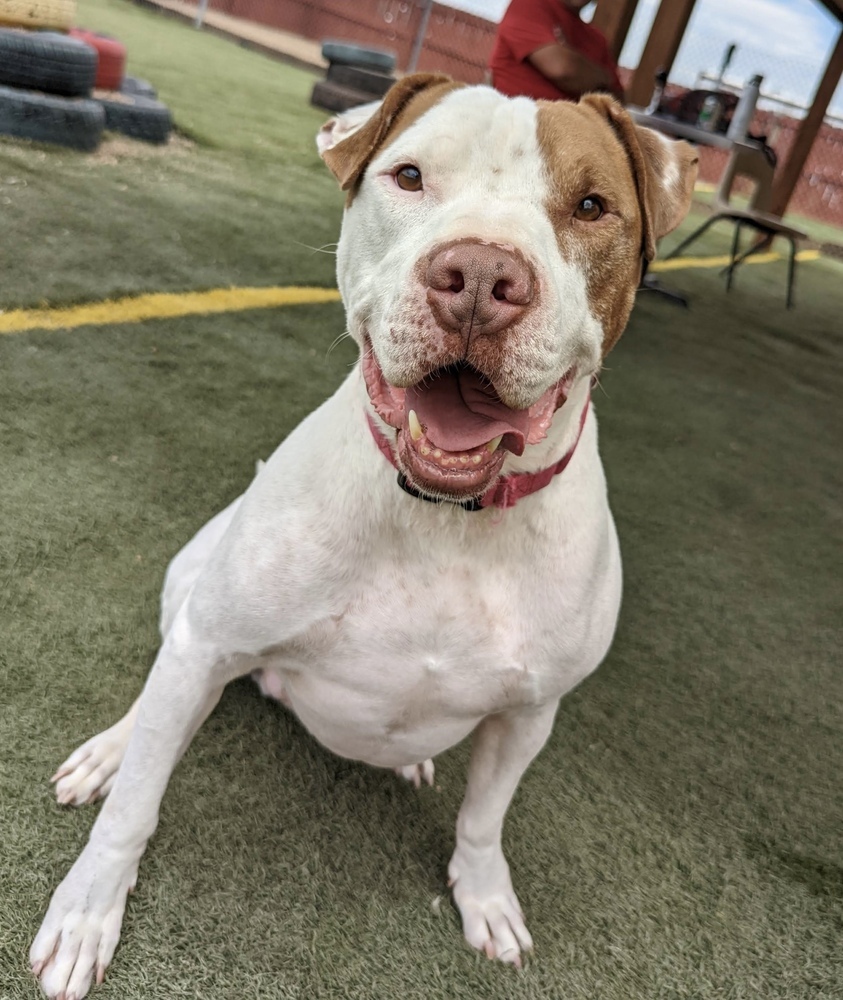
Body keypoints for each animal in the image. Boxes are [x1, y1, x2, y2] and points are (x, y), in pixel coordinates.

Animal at [29, 74, 696, 996]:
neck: (444, 519)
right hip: (188, 589)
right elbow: (136, 806)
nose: (479, 276)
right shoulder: (208, 640)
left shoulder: (532, 711)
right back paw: (111, 750)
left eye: (592, 205)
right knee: (154, 706)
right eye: (409, 176)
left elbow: (484, 818)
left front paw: (485, 897)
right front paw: (88, 913)